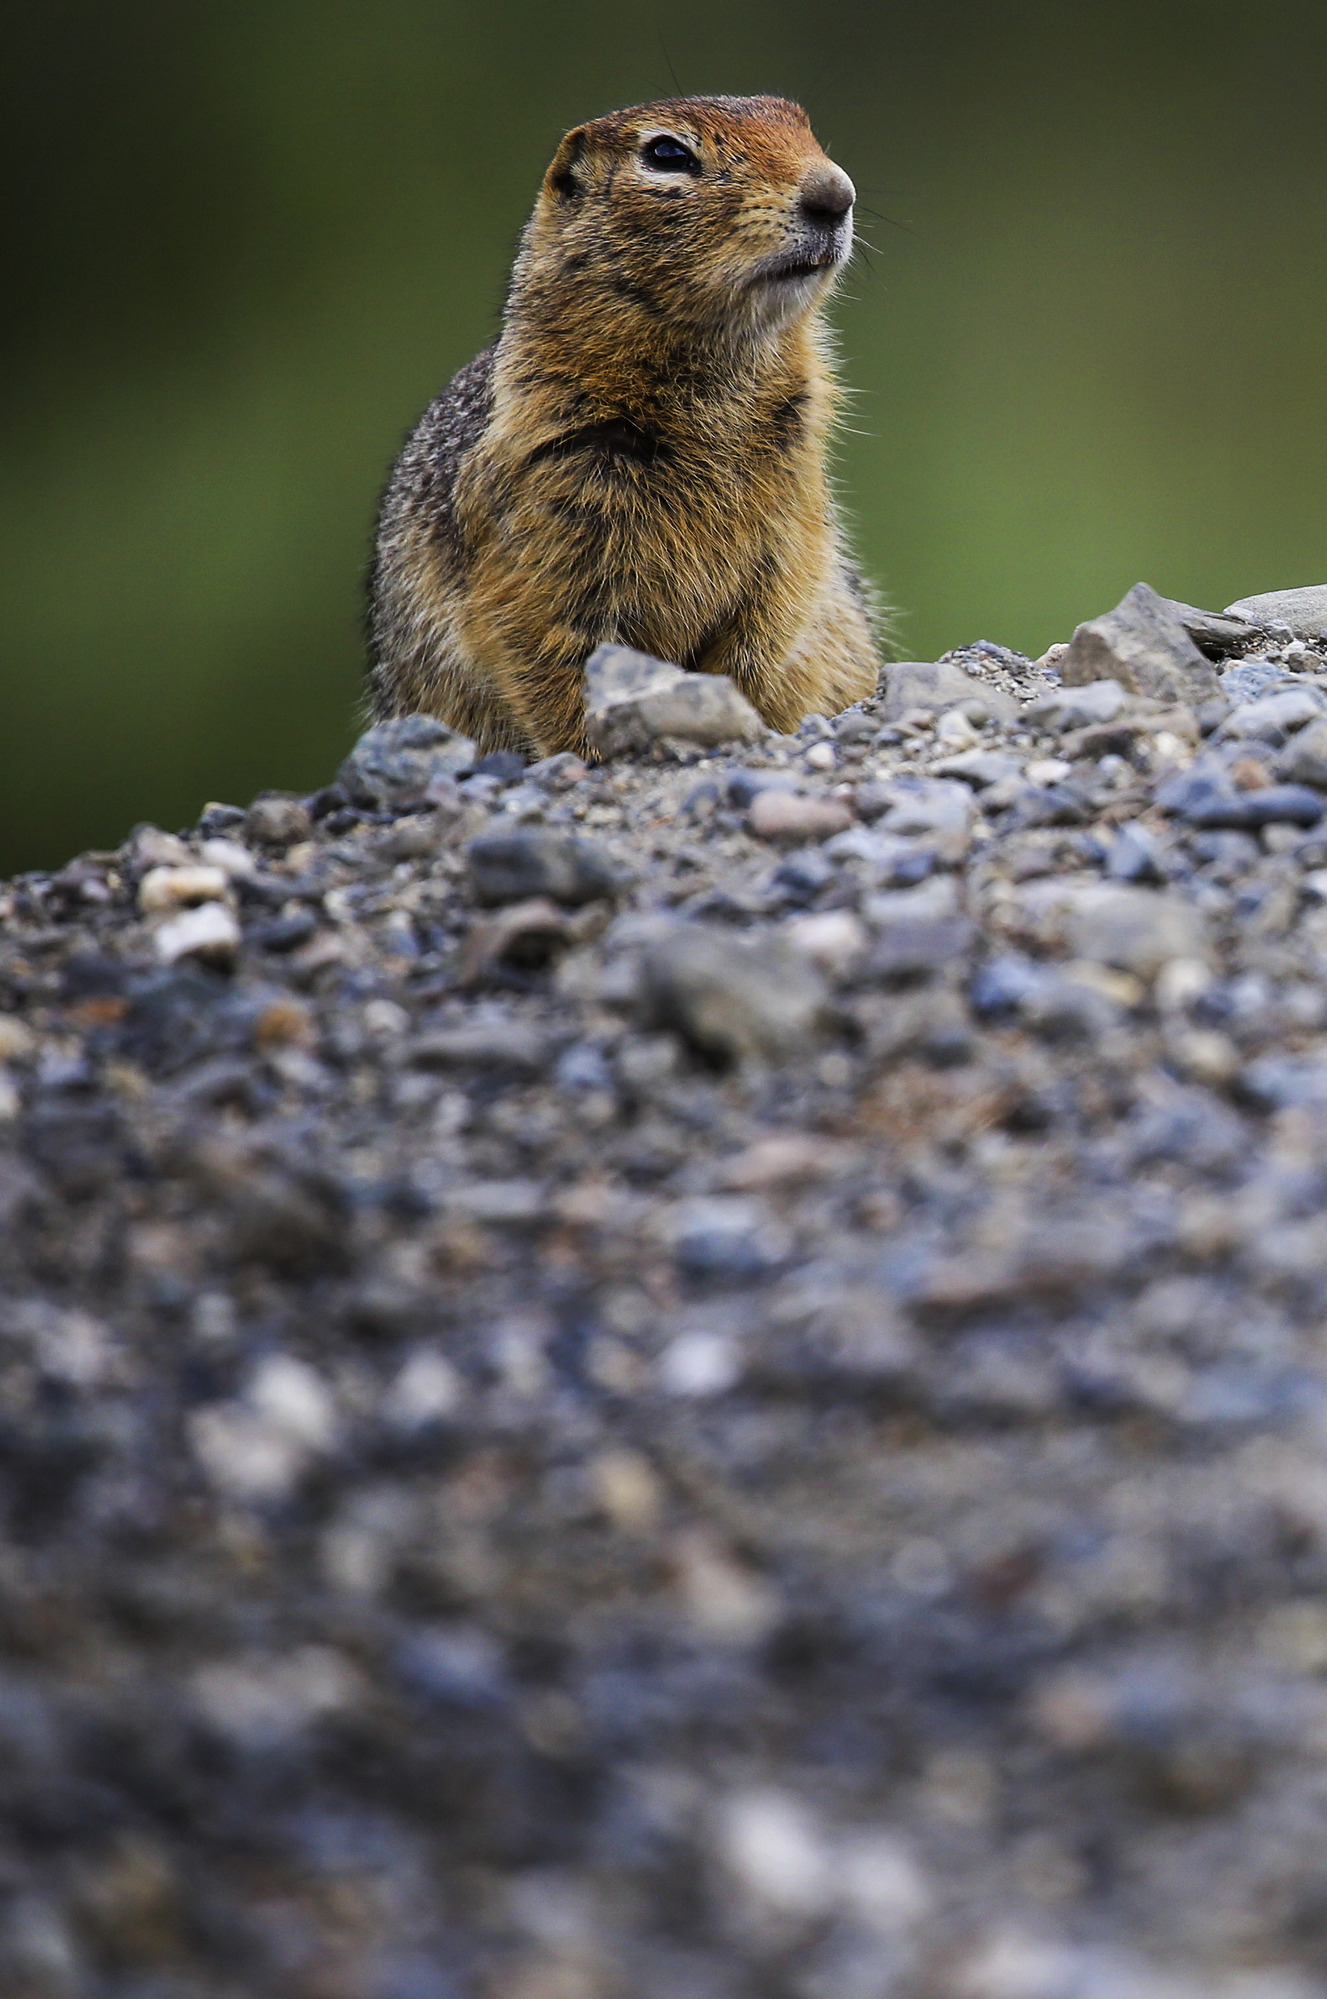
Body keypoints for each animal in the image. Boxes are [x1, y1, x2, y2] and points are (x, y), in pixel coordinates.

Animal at [367, 95, 880, 756]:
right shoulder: (547, 505)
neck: (712, 381)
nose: (835, 193)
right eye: (666, 153)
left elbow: (767, 631)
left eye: (802, 123)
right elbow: (556, 655)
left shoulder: (794, 517)